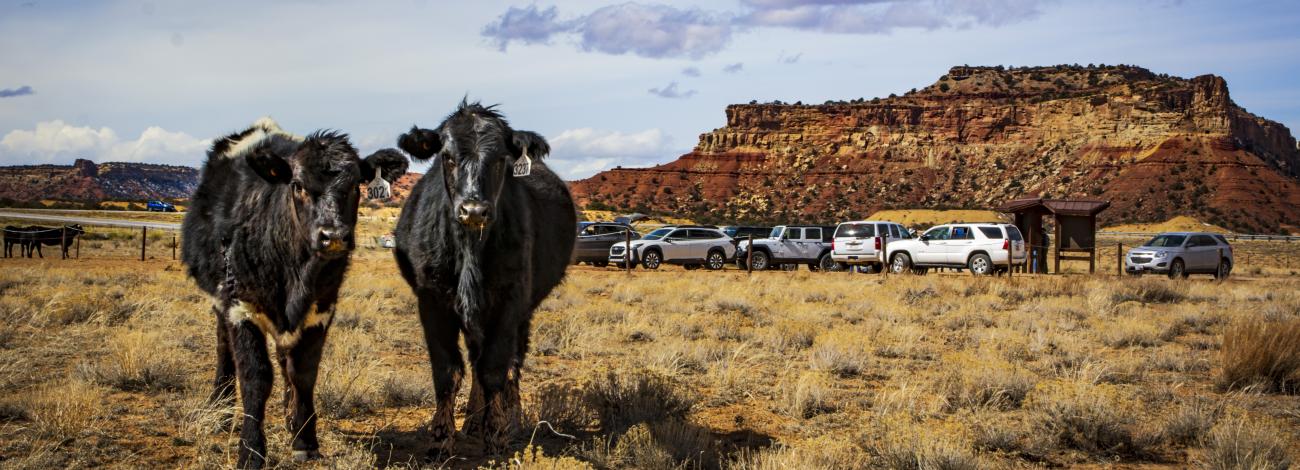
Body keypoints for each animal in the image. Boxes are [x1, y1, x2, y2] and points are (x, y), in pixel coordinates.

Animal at [181, 118, 408, 469]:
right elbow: (256, 377)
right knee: (223, 348)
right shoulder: (240, 307)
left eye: (355, 185)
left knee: (285, 358)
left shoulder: (321, 309)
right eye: (298, 186)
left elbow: (303, 373)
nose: (333, 236)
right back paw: (220, 406)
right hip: (220, 300)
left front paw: (304, 440)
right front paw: (250, 451)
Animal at [392, 101, 576, 456]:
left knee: (512, 363)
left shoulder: (509, 301)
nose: (474, 210)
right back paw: (472, 422)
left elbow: (494, 369)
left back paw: (509, 418)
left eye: (501, 159)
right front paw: (440, 438)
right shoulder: (432, 301)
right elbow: (447, 371)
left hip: (522, 310)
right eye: (447, 156)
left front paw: (496, 436)